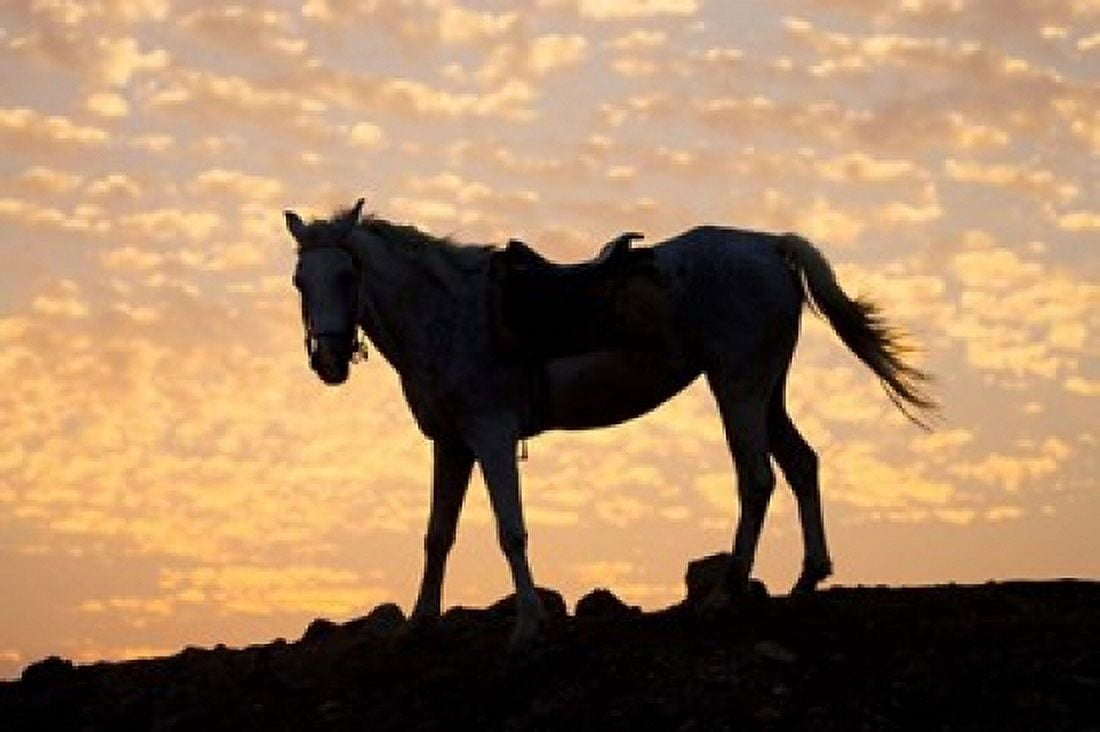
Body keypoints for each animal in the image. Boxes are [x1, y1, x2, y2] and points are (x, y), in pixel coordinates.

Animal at [284, 197, 935, 649]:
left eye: (347, 275)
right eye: (299, 282)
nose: (328, 361)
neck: (445, 312)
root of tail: (771, 246)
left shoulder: (491, 435)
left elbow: (510, 531)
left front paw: (527, 629)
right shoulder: (451, 444)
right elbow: (437, 535)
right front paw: (417, 625)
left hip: (739, 388)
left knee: (757, 480)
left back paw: (724, 596)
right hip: (766, 391)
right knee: (801, 465)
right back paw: (806, 580)